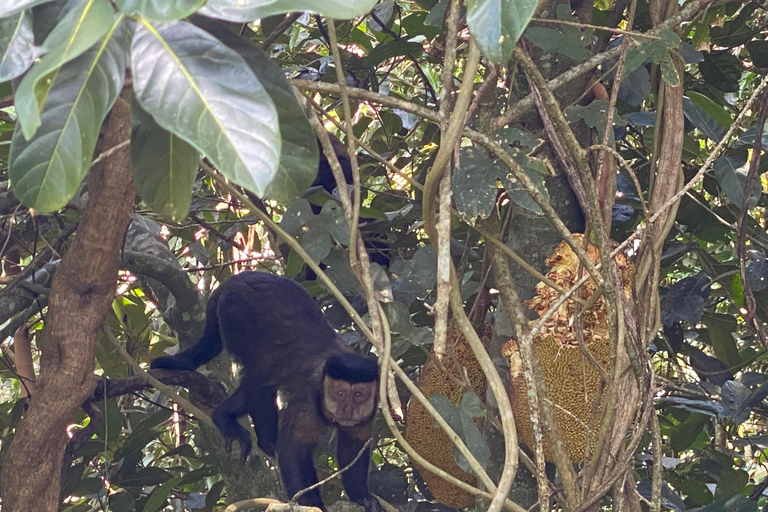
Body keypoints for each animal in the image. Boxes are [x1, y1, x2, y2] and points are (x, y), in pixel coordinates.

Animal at [150, 272, 380, 512]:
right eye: (340, 393)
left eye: (359, 395)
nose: (348, 408)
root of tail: (234, 280)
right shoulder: (310, 399)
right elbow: (292, 450)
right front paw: (313, 504)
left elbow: (354, 446)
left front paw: (361, 497)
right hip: (236, 314)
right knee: (260, 378)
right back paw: (262, 441)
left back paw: (223, 415)